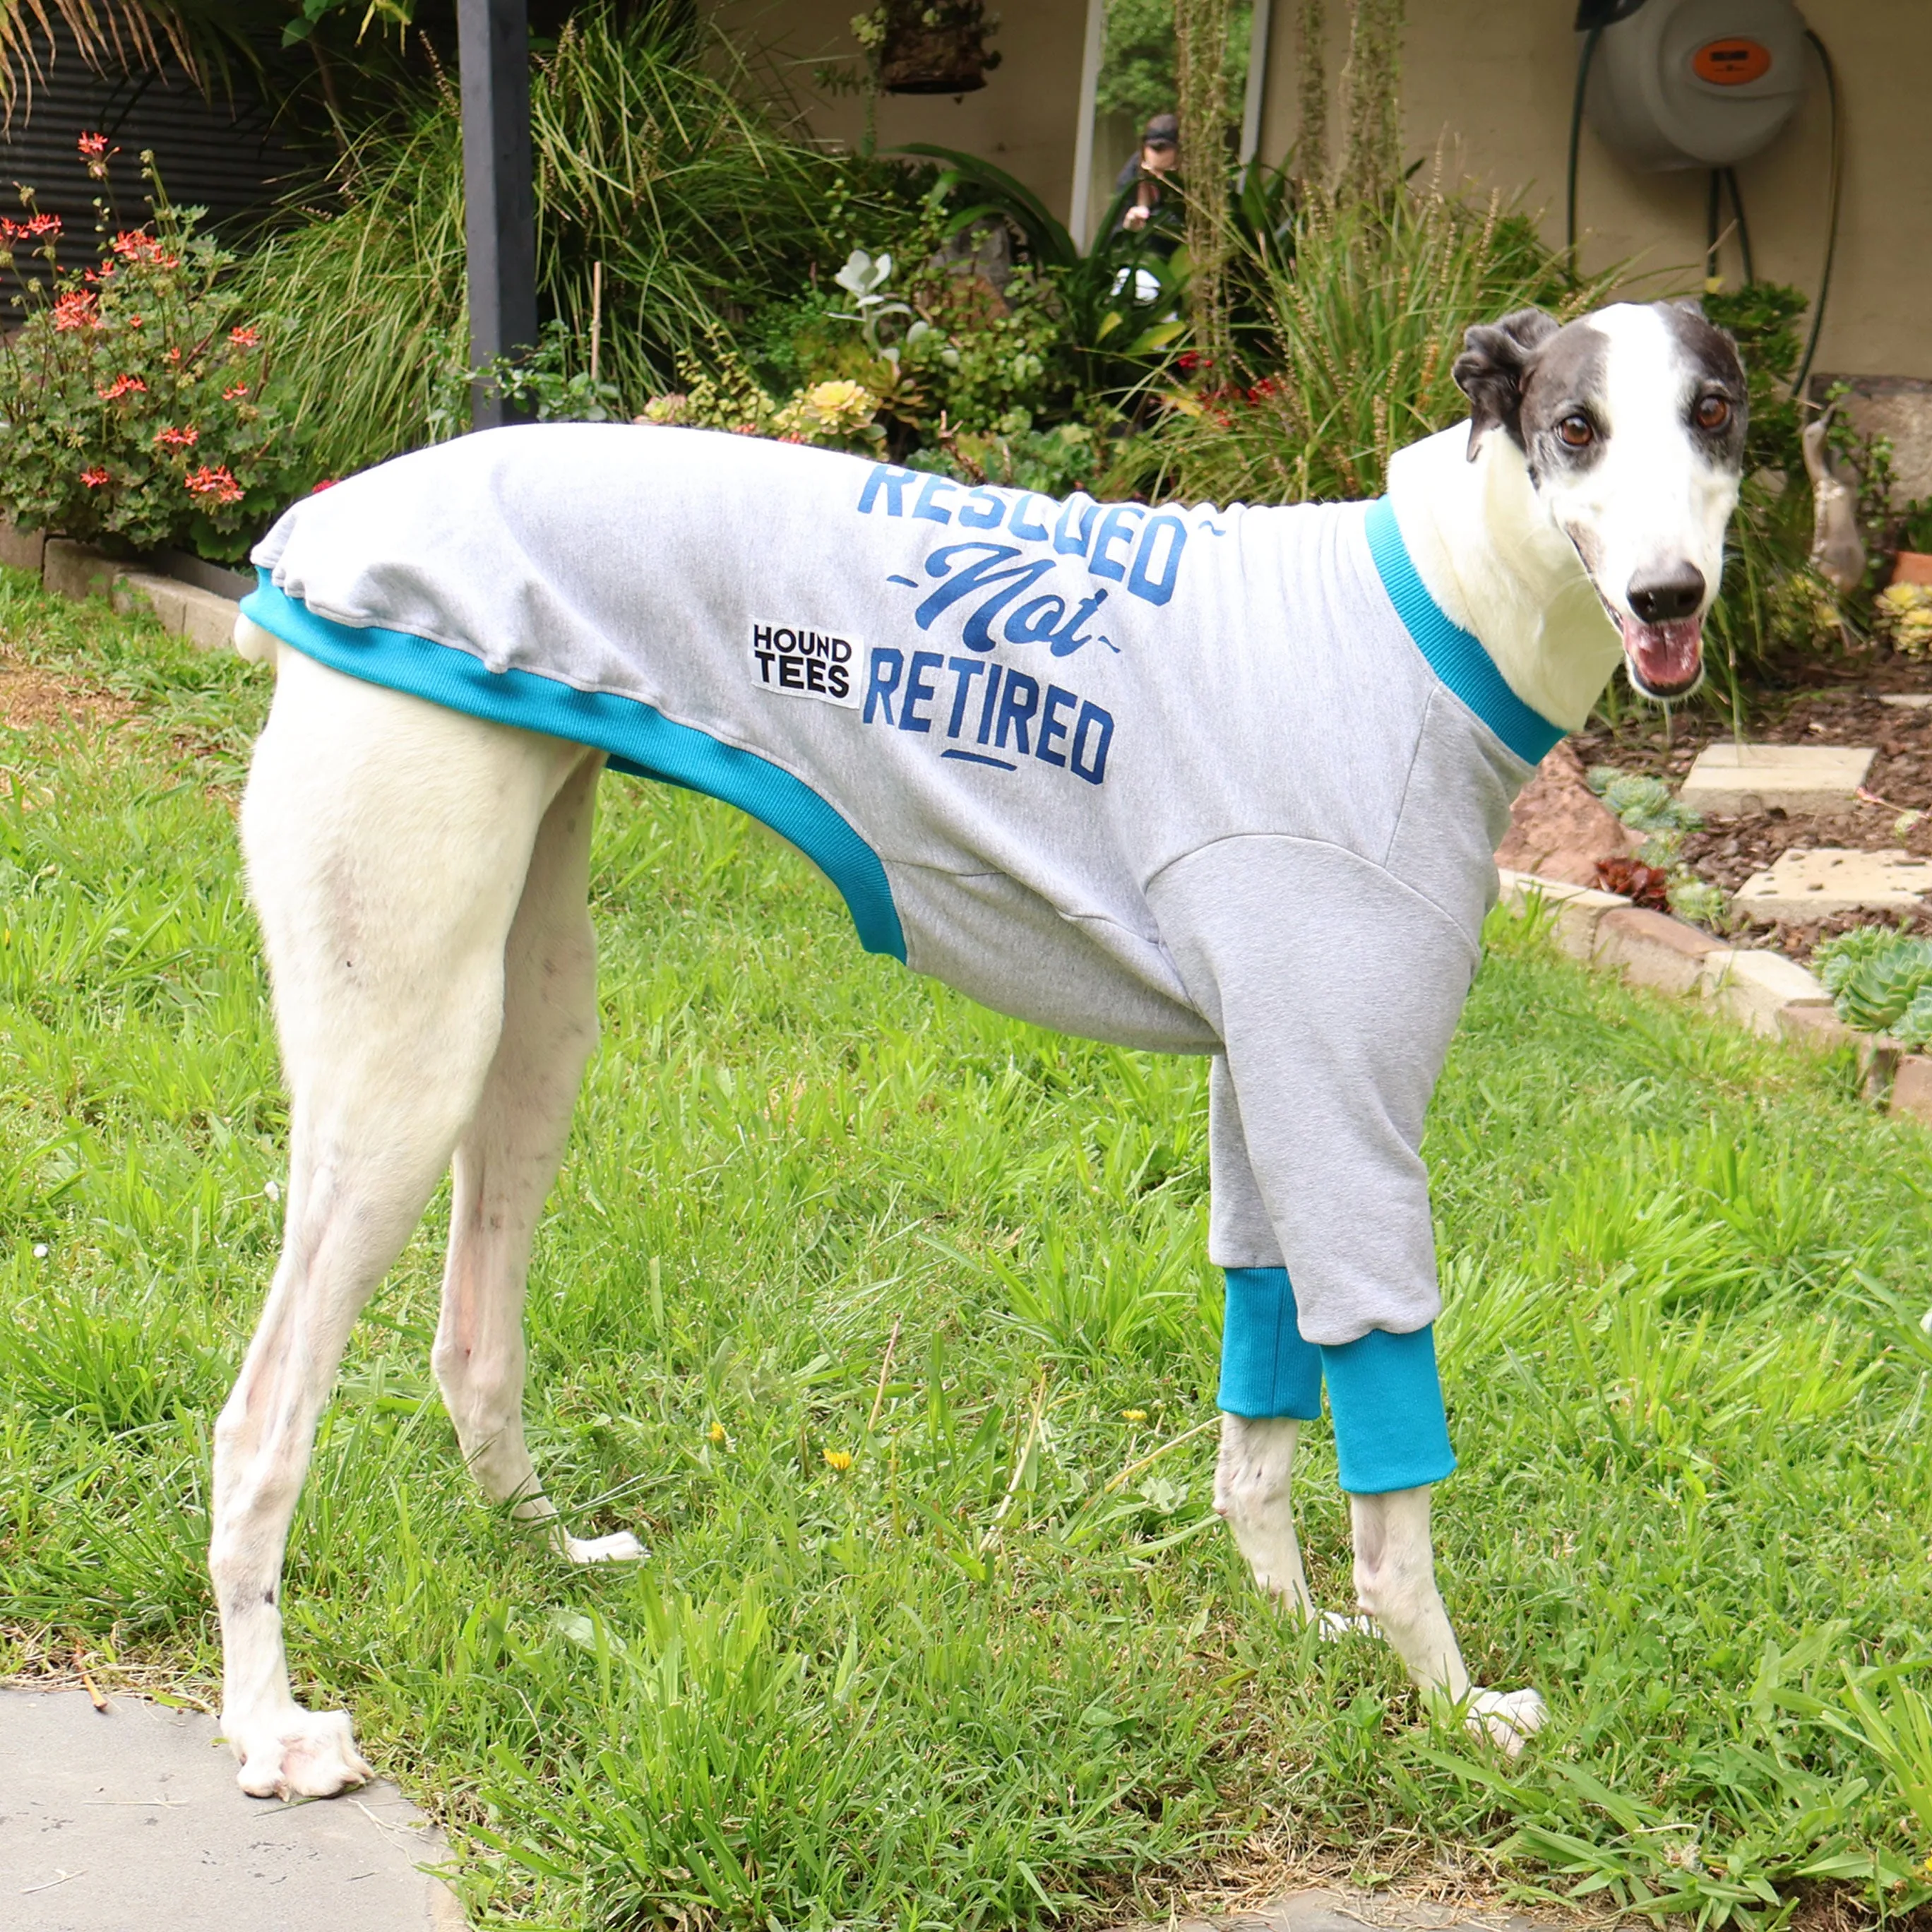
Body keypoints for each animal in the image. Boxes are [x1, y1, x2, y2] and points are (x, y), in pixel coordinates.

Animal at [215, 297, 1754, 1793]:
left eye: (1717, 412)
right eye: (1575, 425)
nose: (1670, 598)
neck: (1438, 604)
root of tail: (319, 534)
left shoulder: (1271, 1088)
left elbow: (1258, 1407)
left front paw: (1292, 1623)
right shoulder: (1349, 1108)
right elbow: (1391, 1464)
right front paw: (1449, 1702)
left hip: (529, 1016)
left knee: (472, 1340)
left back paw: (547, 1545)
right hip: (401, 1065)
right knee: (258, 1424)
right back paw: (270, 1723)